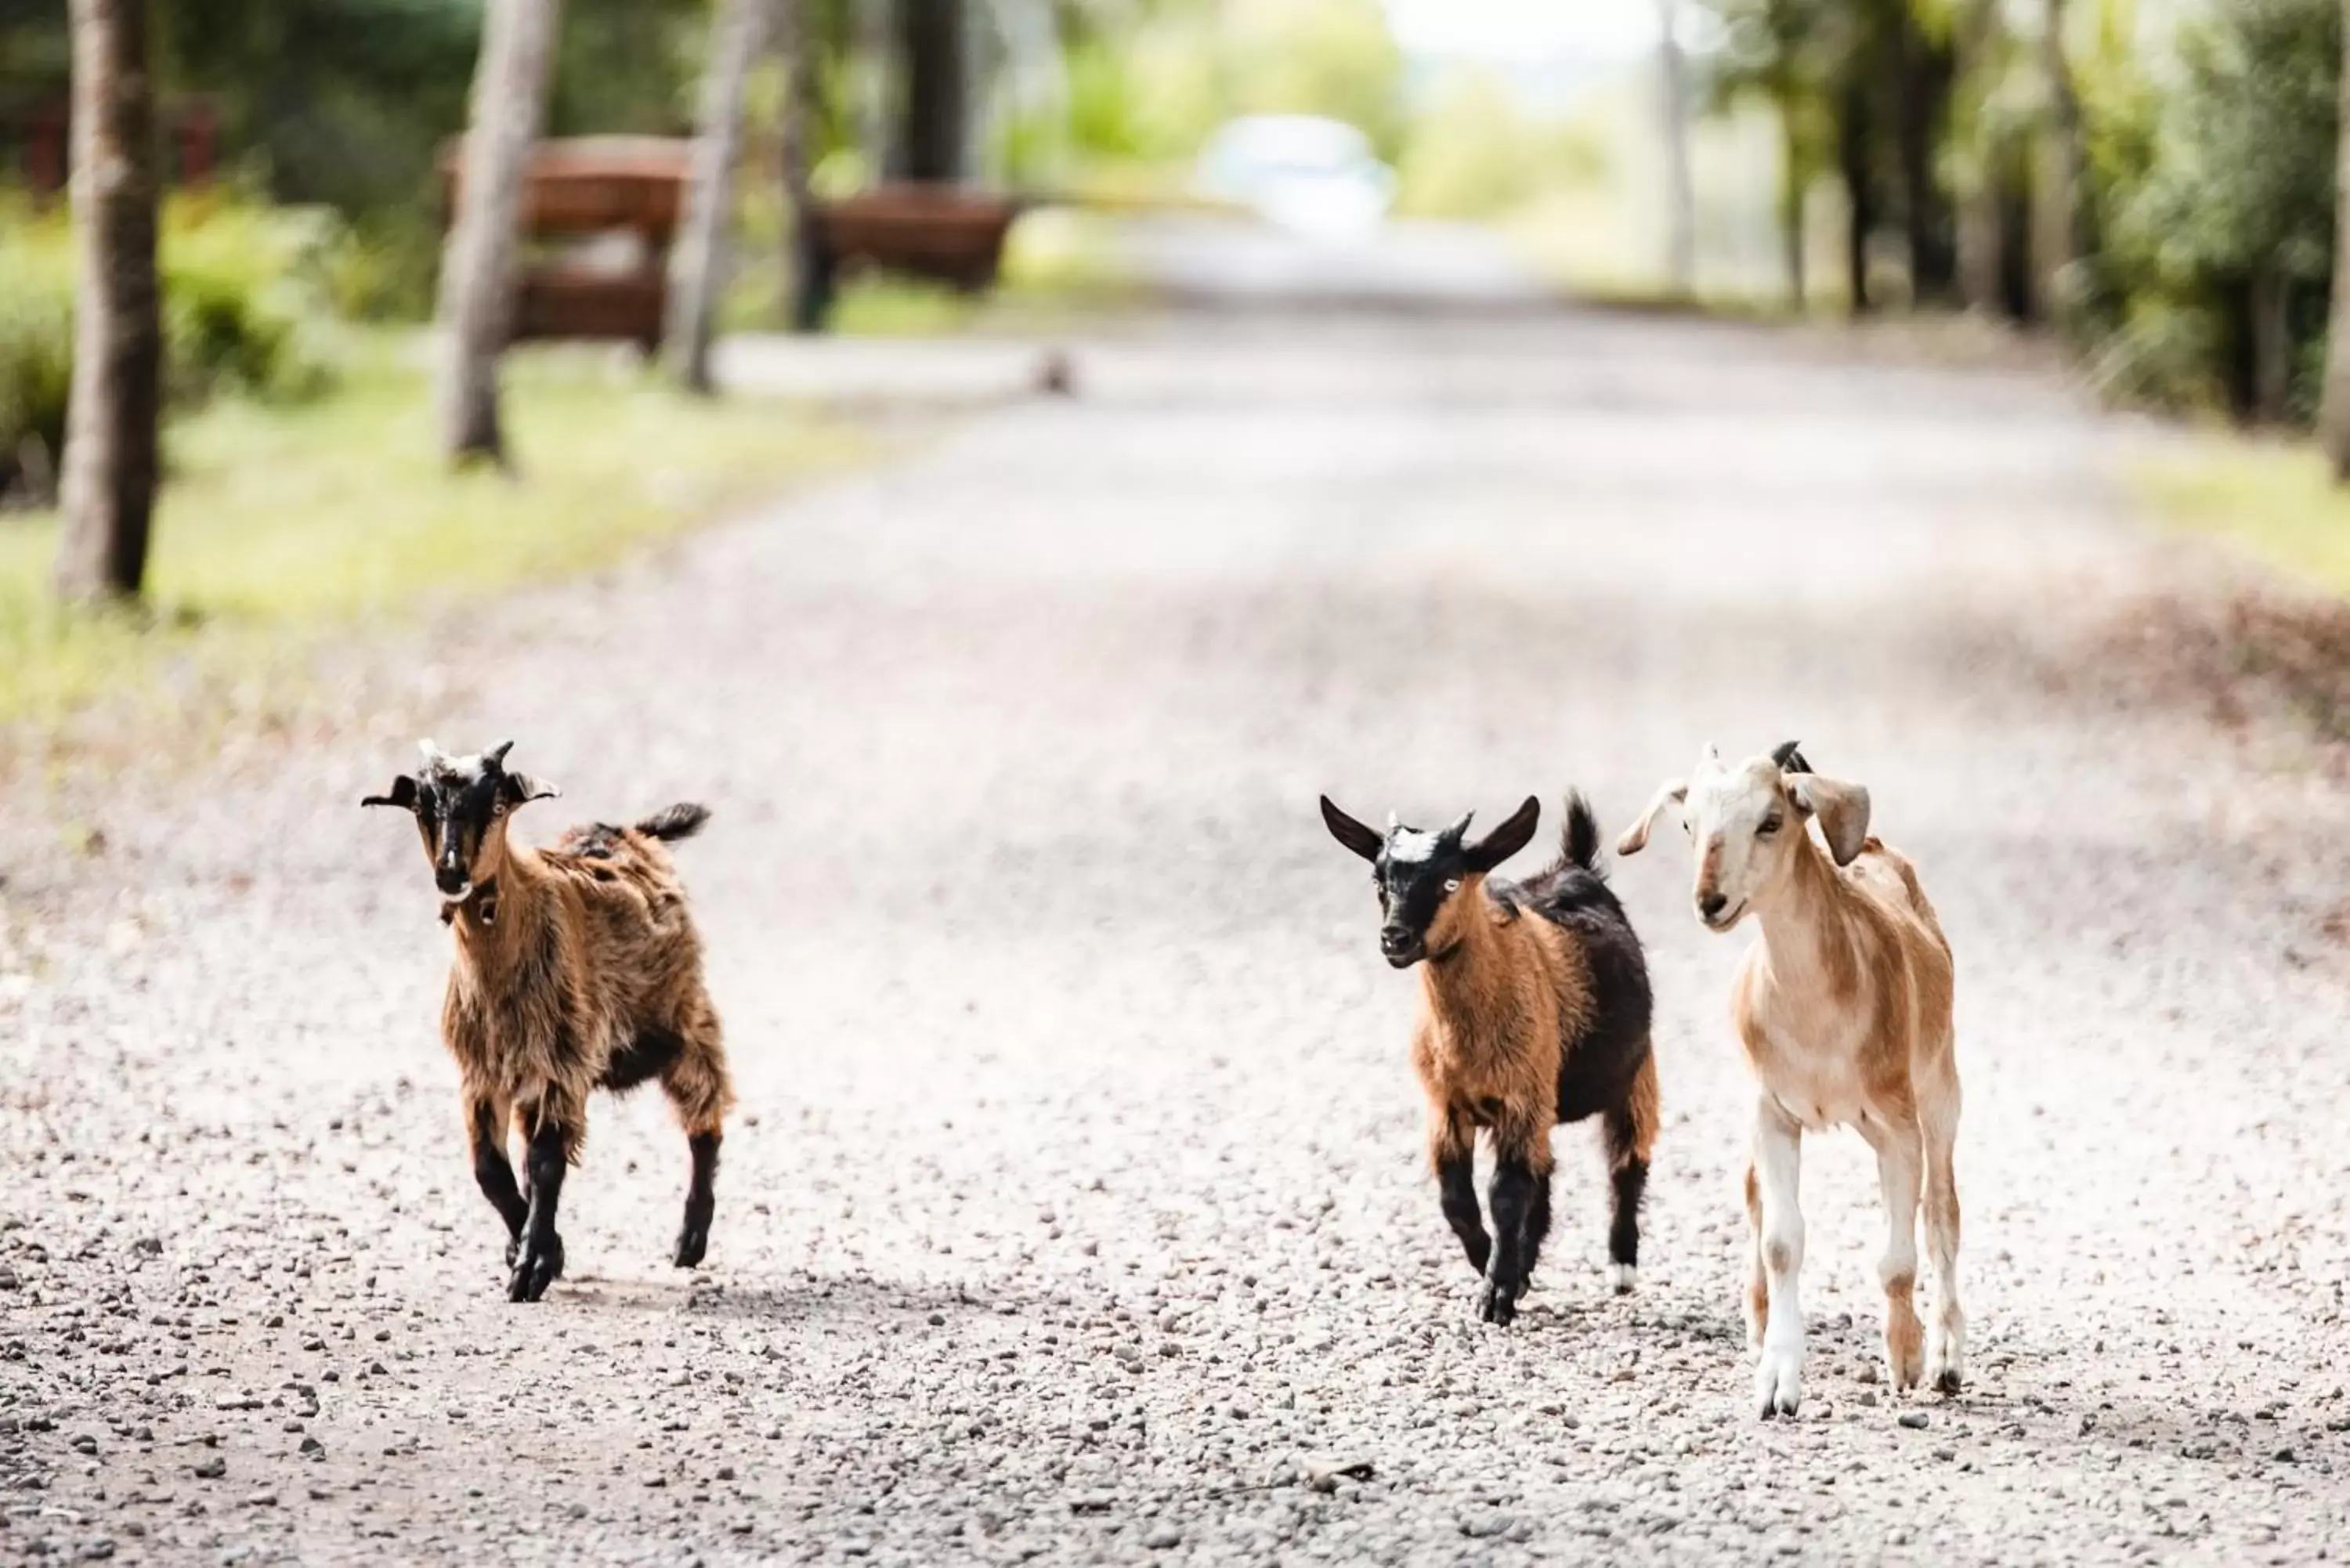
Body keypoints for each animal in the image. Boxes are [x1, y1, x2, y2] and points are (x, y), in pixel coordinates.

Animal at [362, 742, 733, 1306]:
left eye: (497, 806)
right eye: (423, 808)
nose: (452, 872)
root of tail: (633, 833)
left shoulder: (563, 1060)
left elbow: (545, 1162)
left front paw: (534, 1265)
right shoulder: (483, 1071)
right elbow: (491, 1170)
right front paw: (536, 1249)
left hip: (680, 1015)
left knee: (705, 1116)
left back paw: (690, 1240)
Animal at [1316, 799, 1664, 1325]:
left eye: (1450, 882)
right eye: (1379, 880)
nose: (1395, 939)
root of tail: (1575, 864)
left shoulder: (1522, 1098)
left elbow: (1505, 1193)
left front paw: (1496, 1294)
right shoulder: (1446, 1106)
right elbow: (1456, 1197)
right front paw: (1494, 1266)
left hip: (1637, 1074)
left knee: (1626, 1163)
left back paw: (1621, 1269)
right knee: (1546, 1171)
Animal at [1617, 742, 1965, 1419]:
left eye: (1771, 820)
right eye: (1688, 823)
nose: (1710, 901)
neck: (1818, 1023)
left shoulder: (1897, 1126)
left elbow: (1898, 1258)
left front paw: (1906, 1361)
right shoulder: (1773, 1113)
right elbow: (1781, 1240)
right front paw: (1777, 1382)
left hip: (1942, 1093)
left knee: (1943, 1215)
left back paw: (1947, 1361)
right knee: (1753, 1195)